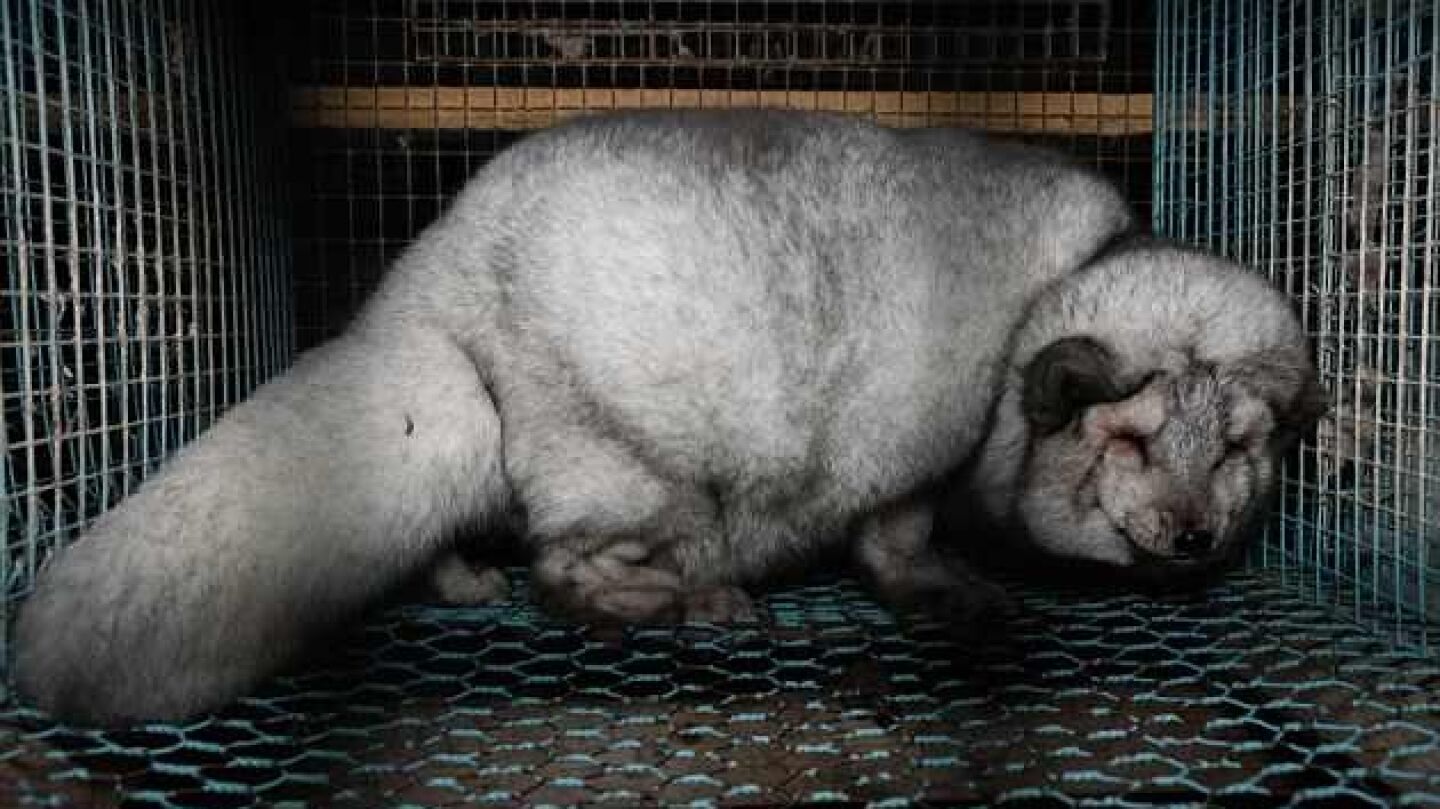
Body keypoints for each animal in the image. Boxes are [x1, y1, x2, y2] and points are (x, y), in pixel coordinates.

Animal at [11, 110, 1326, 725]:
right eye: (1130, 439)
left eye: (1243, 447)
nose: (1197, 536)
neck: (1039, 314)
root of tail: (427, 282)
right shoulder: (921, 448)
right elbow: (895, 536)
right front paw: (943, 587)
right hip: (629, 463)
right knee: (565, 567)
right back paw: (679, 598)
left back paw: (464, 582)